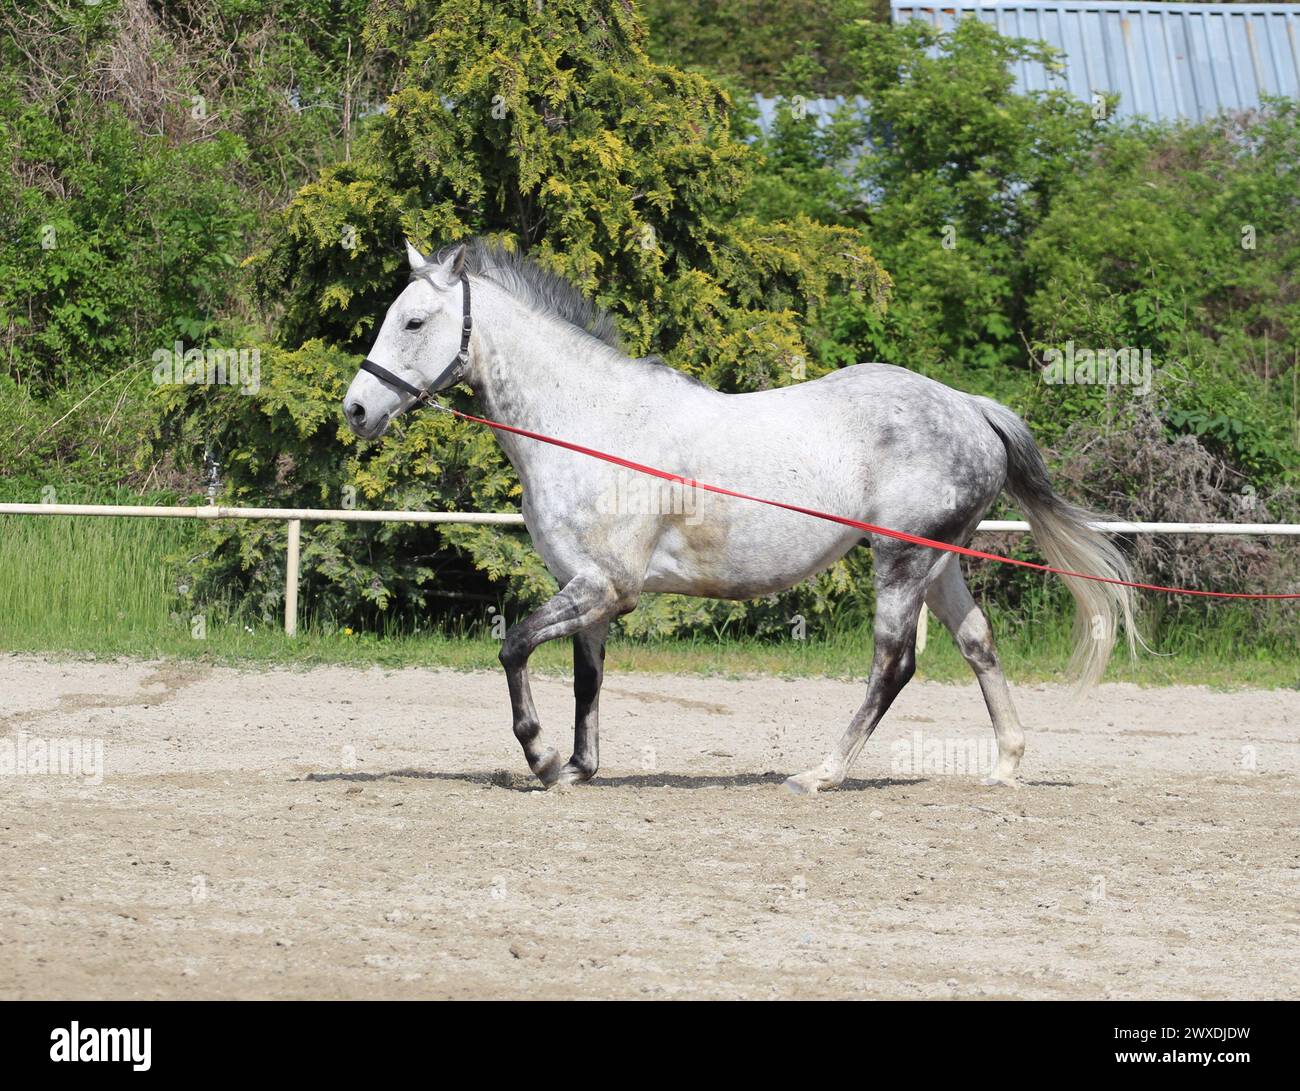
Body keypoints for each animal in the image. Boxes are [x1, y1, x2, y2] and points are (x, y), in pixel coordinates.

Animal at [340, 239, 1133, 795]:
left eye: (414, 321)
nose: (356, 410)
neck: (588, 423)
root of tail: (969, 406)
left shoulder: (604, 587)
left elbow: (513, 648)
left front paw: (539, 755)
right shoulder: (588, 592)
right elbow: (587, 680)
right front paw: (577, 768)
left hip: (902, 562)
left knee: (894, 664)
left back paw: (820, 773)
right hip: (940, 562)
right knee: (978, 644)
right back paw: (1004, 766)